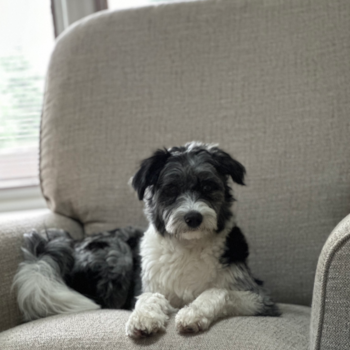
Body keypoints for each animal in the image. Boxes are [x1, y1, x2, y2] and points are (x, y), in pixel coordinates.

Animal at [13, 142, 280, 336]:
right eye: (171, 190)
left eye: (208, 187)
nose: (193, 217)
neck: (188, 245)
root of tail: (72, 244)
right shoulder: (149, 285)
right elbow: (150, 296)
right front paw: (144, 318)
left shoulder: (260, 298)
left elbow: (218, 292)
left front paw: (192, 314)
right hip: (118, 254)